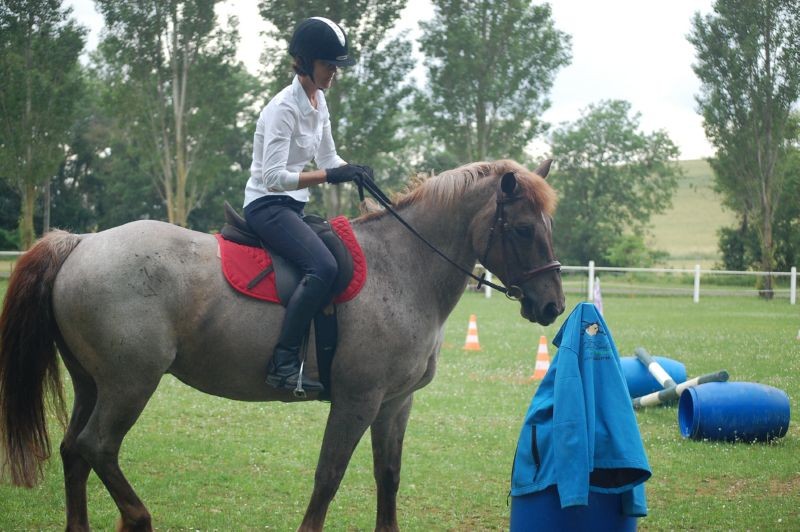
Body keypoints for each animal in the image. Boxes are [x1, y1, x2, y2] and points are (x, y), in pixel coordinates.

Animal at [0, 159, 564, 531]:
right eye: (521, 228)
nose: (553, 305)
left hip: (93, 383)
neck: (402, 268)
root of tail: (82, 242)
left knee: (74, 450)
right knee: (97, 447)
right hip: (129, 385)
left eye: (547, 226)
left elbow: (388, 477)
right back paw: (138, 518)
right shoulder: (357, 402)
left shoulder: (395, 404)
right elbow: (328, 478)